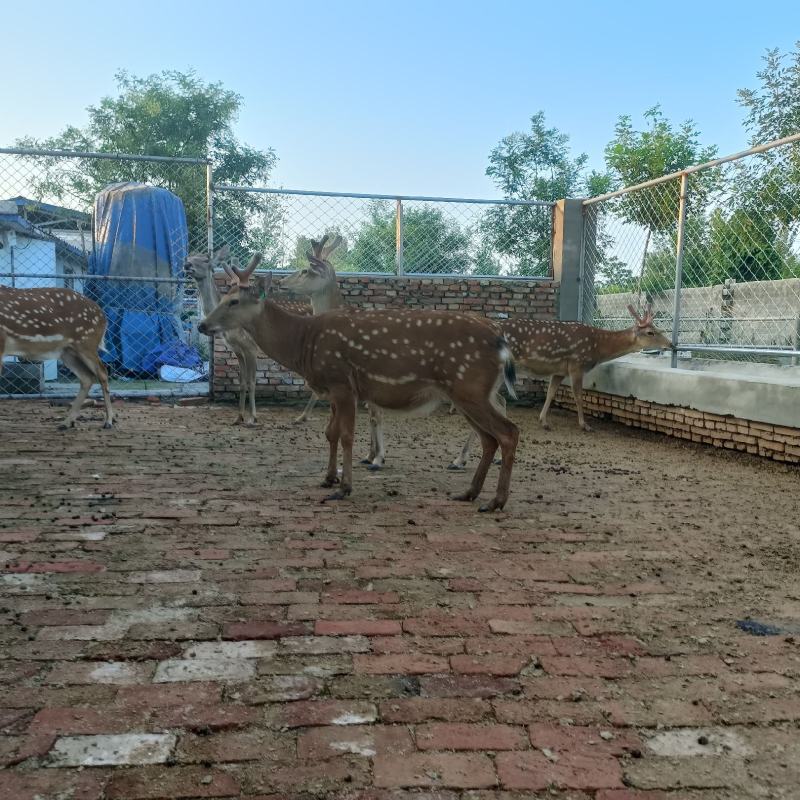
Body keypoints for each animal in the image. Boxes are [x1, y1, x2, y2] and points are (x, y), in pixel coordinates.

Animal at [0, 286, 113, 429]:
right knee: (87, 377)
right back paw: (66, 422)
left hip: (87, 343)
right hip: (67, 352)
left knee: (102, 372)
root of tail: (103, 315)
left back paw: (108, 421)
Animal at [184, 245, 310, 427]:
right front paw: (238, 417)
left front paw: (253, 417)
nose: (186, 265)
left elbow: (252, 382)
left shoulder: (251, 347)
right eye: (188, 256)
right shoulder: (237, 350)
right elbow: (242, 383)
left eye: (206, 259)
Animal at [449, 304, 672, 469]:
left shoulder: (559, 371)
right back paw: (460, 459)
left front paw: (544, 421)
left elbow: (551, 393)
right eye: (651, 332)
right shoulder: (576, 363)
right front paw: (584, 425)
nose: (671, 344)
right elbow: (578, 395)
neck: (597, 348)